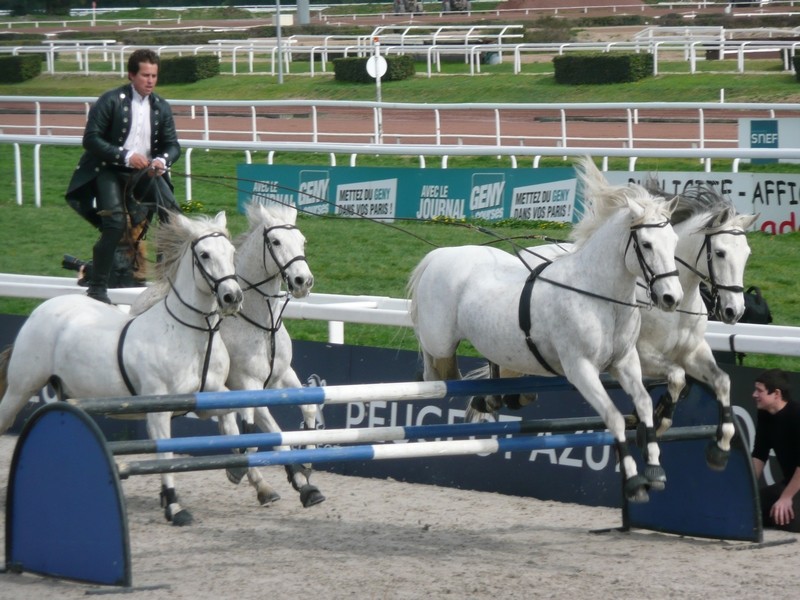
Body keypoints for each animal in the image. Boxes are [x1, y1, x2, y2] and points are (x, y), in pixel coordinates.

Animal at [0, 211, 244, 524]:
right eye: (204, 254)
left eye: (232, 253)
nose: (232, 297)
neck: (191, 335)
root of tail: (41, 309)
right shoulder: (159, 410)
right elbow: (165, 455)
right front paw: (174, 506)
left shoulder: (208, 395)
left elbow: (233, 417)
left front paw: (245, 472)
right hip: (20, 389)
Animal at [412, 158, 680, 502]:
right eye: (646, 244)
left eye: (674, 242)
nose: (671, 298)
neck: (598, 295)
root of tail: (438, 255)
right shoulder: (581, 370)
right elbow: (614, 418)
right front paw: (634, 482)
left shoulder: (625, 362)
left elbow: (645, 404)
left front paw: (655, 469)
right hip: (440, 344)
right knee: (439, 375)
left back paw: (497, 399)